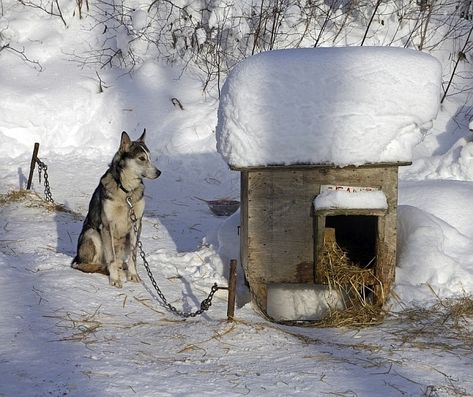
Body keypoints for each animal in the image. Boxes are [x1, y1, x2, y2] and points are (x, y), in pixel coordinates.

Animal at [72, 130, 160, 288]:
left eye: (150, 157)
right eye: (141, 158)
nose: (159, 172)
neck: (126, 191)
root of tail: (76, 258)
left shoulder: (136, 223)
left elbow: (133, 256)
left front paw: (133, 275)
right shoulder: (107, 225)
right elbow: (111, 259)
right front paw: (115, 279)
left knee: (119, 260)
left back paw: (121, 267)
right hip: (93, 234)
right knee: (86, 265)